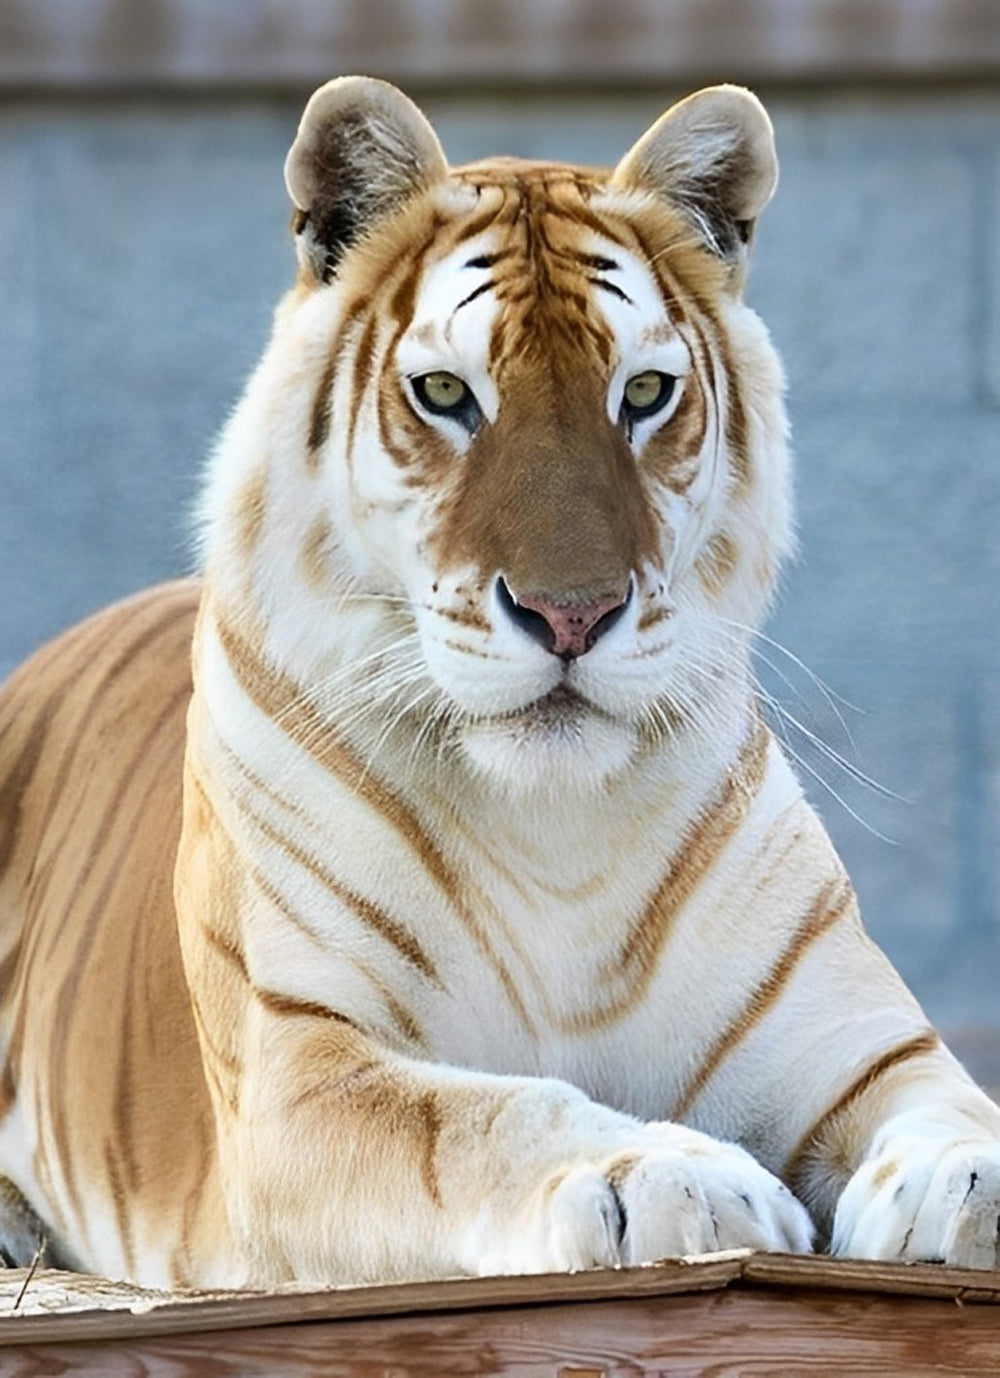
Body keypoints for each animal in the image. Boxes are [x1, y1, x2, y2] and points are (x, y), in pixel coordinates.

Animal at [0, 76, 998, 1292]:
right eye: (443, 393)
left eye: (645, 393)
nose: (571, 613)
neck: (555, 828)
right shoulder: (304, 1065)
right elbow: (495, 1115)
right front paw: (672, 1176)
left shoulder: (859, 1045)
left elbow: (952, 1104)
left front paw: (962, 1180)